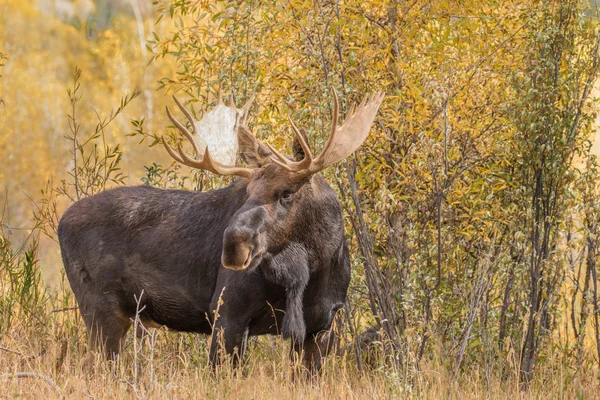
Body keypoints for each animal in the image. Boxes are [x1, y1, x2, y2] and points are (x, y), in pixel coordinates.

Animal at [57, 89, 384, 370]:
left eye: (287, 192)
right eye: (247, 190)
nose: (234, 244)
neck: (315, 268)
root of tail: (61, 221)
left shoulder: (321, 326)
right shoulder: (227, 312)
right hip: (101, 310)